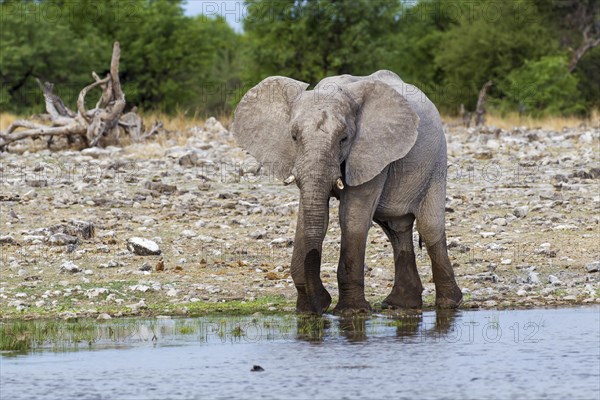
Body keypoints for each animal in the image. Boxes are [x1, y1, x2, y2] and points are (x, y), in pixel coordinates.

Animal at [232, 69, 462, 316]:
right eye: (294, 137)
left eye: (344, 139)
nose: (321, 305)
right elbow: (311, 217)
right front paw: (306, 310)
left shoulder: (371, 151)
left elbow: (351, 218)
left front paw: (351, 312)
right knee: (396, 229)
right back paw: (401, 304)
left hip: (436, 161)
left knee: (429, 226)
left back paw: (449, 304)